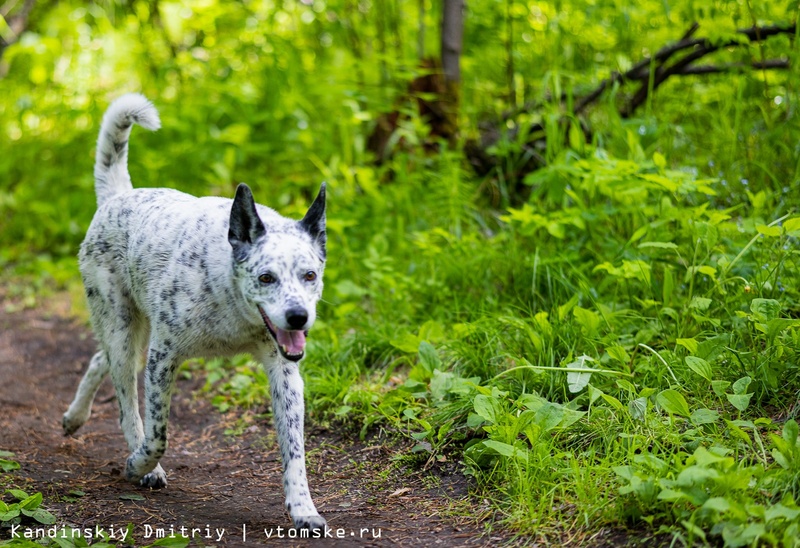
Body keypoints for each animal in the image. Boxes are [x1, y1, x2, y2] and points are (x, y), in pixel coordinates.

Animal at [59, 94, 328, 532]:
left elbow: (294, 449)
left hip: (132, 336)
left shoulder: (285, 373)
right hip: (123, 330)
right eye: (266, 277)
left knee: (101, 360)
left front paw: (303, 508)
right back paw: (139, 463)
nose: (298, 317)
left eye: (310, 275)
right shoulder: (162, 359)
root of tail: (117, 196)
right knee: (126, 403)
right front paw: (140, 465)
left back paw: (75, 417)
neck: (232, 304)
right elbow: (158, 435)